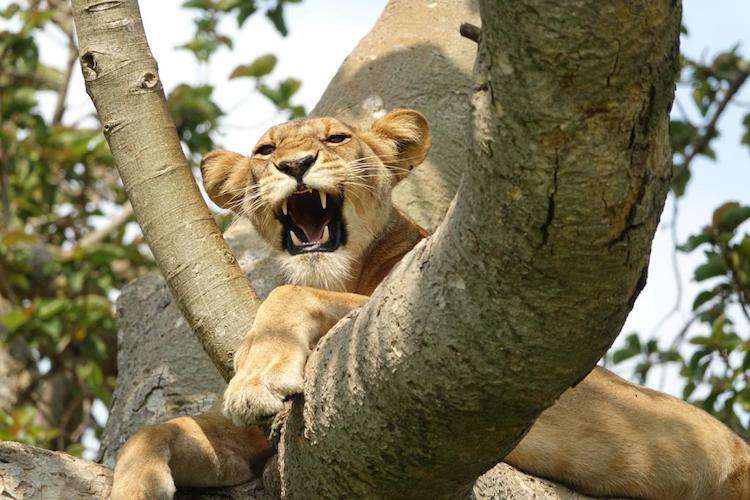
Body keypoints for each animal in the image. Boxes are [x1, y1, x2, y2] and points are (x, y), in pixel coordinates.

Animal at [111, 109, 750, 499]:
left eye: (335, 139)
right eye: (265, 150)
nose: (293, 166)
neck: (352, 262)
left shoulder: (411, 315)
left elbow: (294, 292)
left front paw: (255, 377)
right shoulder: (260, 444)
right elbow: (168, 429)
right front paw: (135, 485)